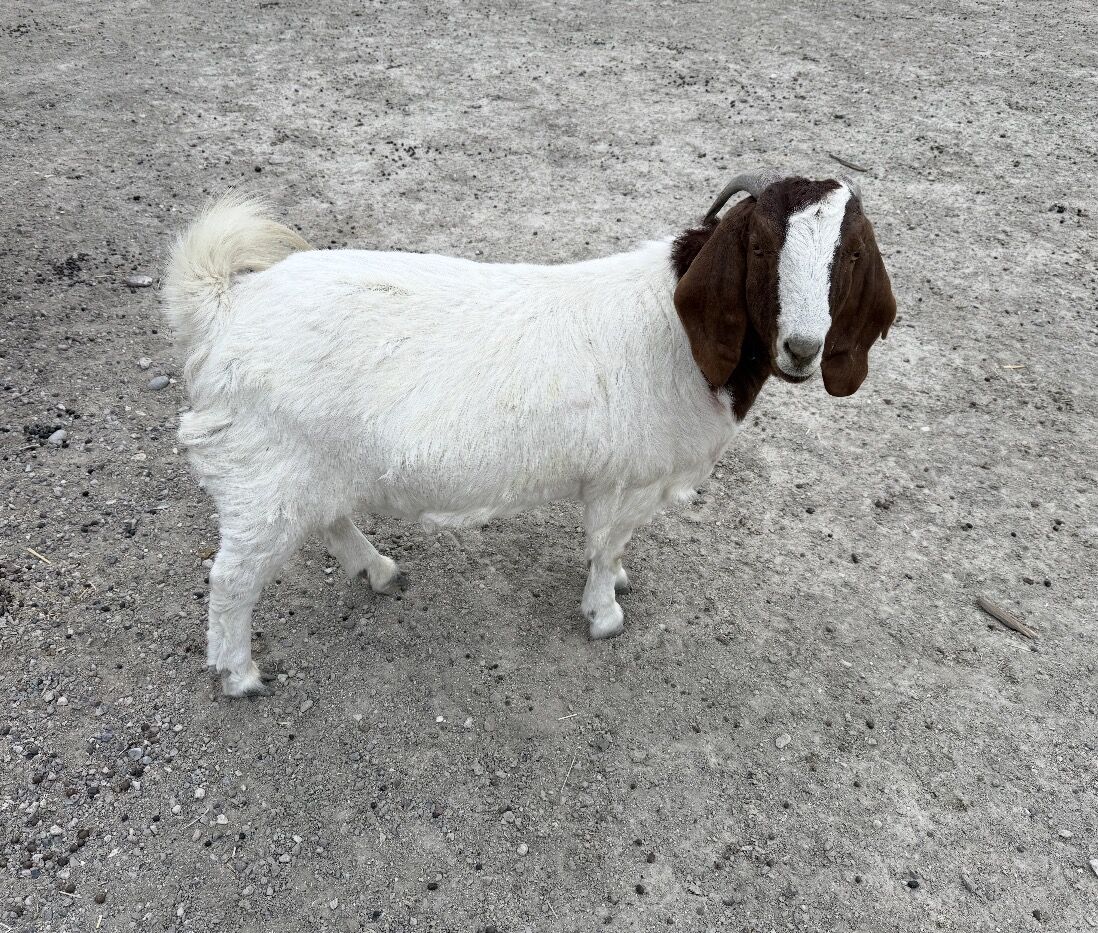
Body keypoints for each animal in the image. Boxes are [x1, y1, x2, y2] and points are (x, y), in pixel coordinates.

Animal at [163, 171, 897, 696]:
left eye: (851, 255)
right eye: (761, 247)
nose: (802, 349)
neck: (678, 332)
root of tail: (224, 304)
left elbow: (612, 548)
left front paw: (619, 583)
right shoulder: (627, 479)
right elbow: (604, 546)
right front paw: (604, 613)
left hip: (309, 465)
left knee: (331, 519)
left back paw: (379, 570)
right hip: (266, 473)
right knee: (232, 577)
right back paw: (239, 674)